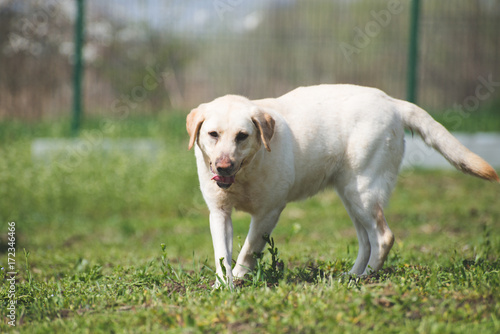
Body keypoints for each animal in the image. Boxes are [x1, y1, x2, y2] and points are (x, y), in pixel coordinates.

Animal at [187, 85, 496, 286]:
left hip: (363, 193)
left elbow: (248, 250)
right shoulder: (219, 213)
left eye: (242, 136)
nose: (223, 166)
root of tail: (392, 101)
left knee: (383, 237)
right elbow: (222, 253)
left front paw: (239, 279)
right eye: (213, 134)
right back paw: (352, 275)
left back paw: (366, 278)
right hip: (351, 197)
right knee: (366, 241)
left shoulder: (269, 213)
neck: (246, 172)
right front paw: (223, 285)